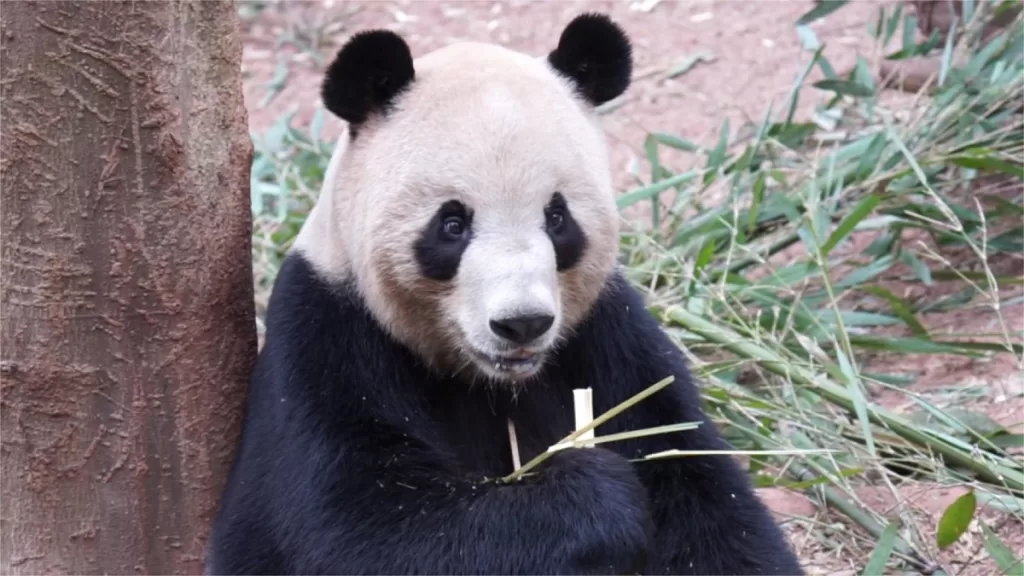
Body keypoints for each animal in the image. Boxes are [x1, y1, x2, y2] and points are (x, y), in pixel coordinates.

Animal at [208, 13, 804, 576]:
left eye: (558, 218)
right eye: (452, 225)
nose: (522, 323)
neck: (489, 383)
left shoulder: (608, 338)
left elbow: (695, 481)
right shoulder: (327, 338)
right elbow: (362, 529)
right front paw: (599, 498)